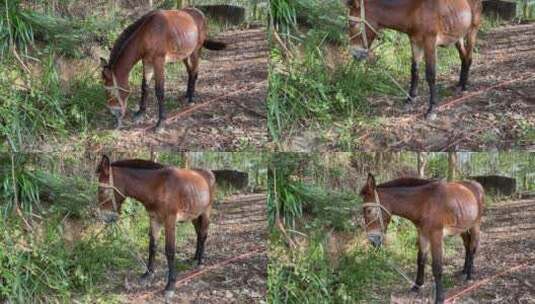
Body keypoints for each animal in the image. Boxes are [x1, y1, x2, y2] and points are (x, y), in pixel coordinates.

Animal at [96, 156, 216, 300]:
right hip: (194, 215)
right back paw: (195, 258)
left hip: (206, 212)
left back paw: (200, 262)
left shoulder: (170, 221)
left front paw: (170, 285)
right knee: (198, 234)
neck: (158, 187)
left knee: (203, 235)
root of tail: (208, 172)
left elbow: (170, 251)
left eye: (102, 190)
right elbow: (152, 246)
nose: (102, 216)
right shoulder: (154, 219)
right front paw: (148, 274)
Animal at [346, 0, 484, 120]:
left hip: (472, 31)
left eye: (352, 24)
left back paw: (464, 87)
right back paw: (460, 84)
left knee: (469, 57)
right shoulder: (415, 42)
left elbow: (430, 74)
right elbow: (414, 70)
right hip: (458, 35)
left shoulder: (430, 42)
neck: (414, 10)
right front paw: (410, 99)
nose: (355, 53)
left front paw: (432, 109)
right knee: (463, 57)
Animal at [360, 173, 486, 304]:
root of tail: (476, 184)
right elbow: (420, 259)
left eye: (369, 210)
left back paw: (469, 275)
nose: (372, 241)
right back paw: (465, 270)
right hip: (463, 228)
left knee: (473, 247)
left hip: (475, 225)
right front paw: (417, 285)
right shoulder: (422, 234)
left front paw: (439, 298)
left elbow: (437, 267)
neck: (424, 203)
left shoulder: (436, 235)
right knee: (467, 246)